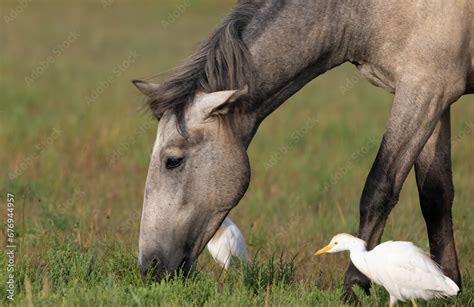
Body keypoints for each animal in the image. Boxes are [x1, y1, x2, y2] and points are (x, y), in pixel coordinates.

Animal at [131, 0, 472, 302]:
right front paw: (449, 284)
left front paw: (353, 288)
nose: (149, 267)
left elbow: (378, 189)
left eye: (172, 161)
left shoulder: (424, 89)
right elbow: (436, 196)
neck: (362, 11)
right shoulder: (432, 97)